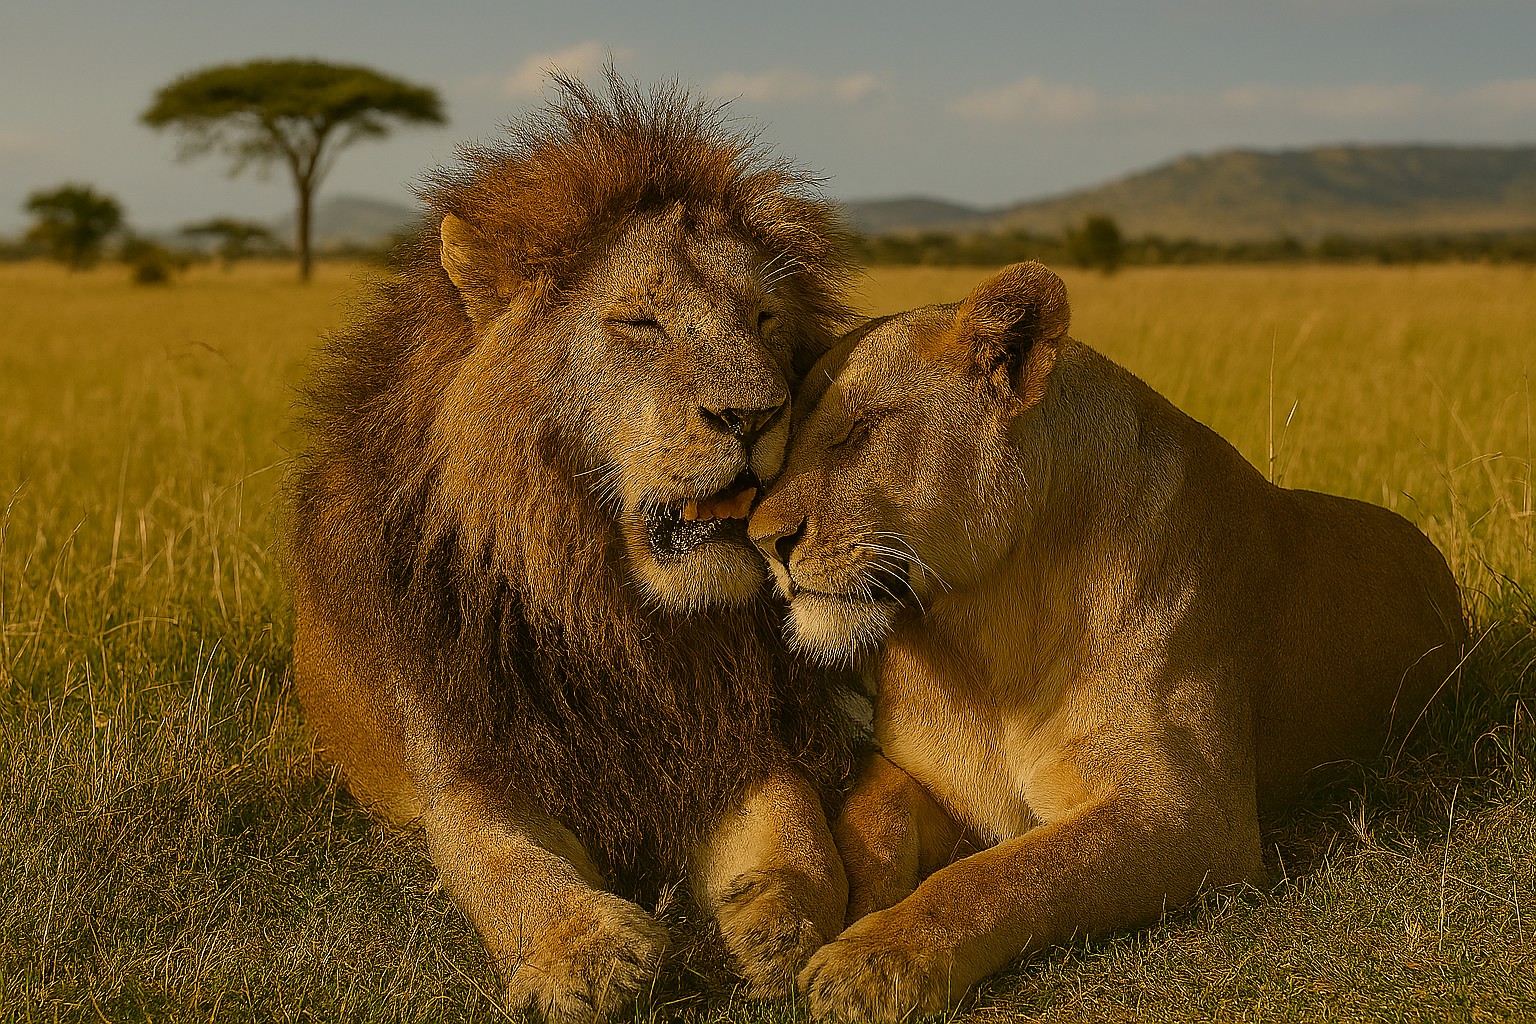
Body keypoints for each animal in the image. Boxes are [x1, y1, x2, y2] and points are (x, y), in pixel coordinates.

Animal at [286, 73, 865, 1021]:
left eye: (763, 317)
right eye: (639, 323)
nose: (755, 415)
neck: (614, 610)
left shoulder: (731, 729)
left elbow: (797, 825)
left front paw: (778, 923)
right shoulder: (466, 760)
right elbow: (499, 860)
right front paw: (584, 953)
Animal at [747, 261, 1466, 1022]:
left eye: (859, 430)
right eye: (779, 448)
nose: (761, 543)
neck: (985, 625)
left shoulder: (1193, 813)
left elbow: (1005, 875)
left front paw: (871, 963)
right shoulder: (936, 777)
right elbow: (871, 812)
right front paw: (834, 914)